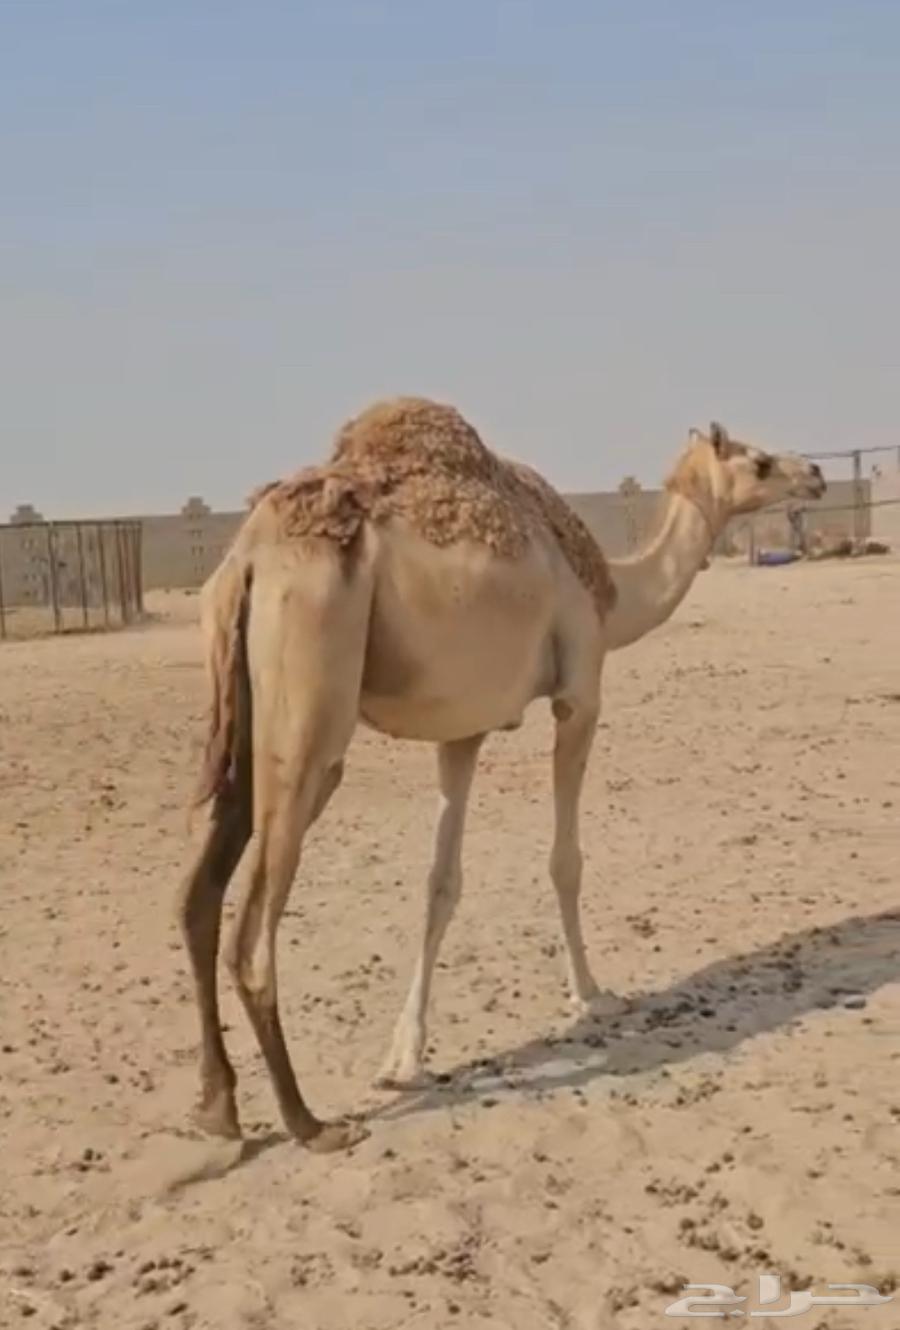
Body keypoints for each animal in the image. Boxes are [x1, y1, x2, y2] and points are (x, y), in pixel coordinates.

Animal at [177, 397, 825, 1152]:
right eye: (759, 461)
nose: (814, 474)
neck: (612, 592)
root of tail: (247, 560)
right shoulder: (581, 692)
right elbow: (564, 861)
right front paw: (592, 994)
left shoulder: (464, 731)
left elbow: (440, 885)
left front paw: (403, 1058)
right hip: (312, 706)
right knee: (254, 930)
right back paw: (309, 1122)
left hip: (246, 717)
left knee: (197, 896)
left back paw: (217, 1107)